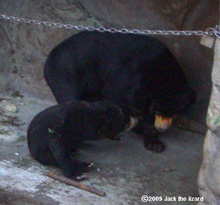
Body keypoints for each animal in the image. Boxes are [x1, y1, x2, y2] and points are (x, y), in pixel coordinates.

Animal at [43, 31, 197, 153]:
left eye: (175, 113)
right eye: (158, 111)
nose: (163, 129)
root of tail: (50, 56)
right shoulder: (130, 82)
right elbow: (127, 107)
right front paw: (154, 141)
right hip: (66, 73)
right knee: (70, 98)